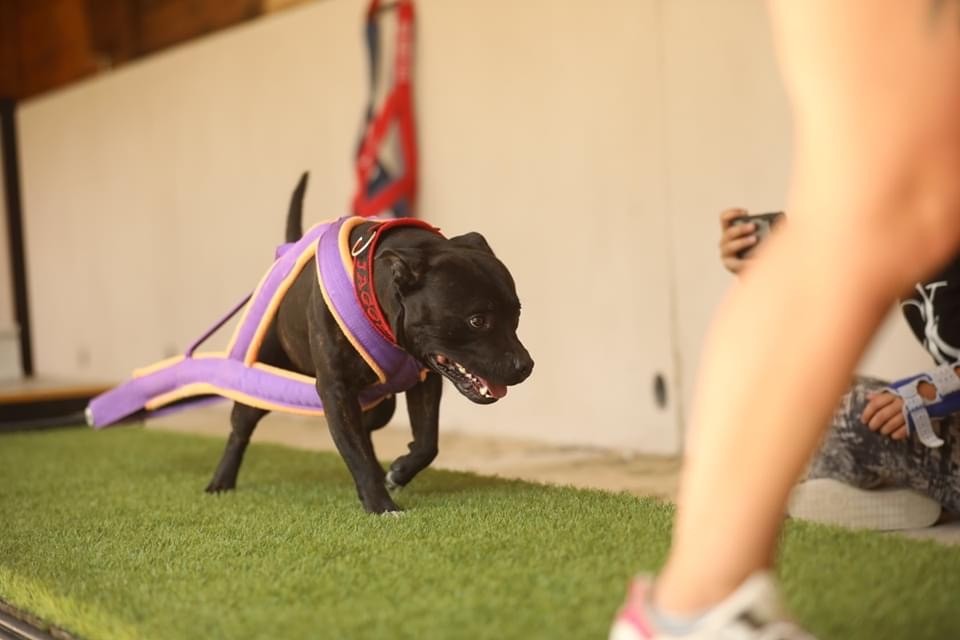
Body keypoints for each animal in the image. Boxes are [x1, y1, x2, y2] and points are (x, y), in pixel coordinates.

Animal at [204, 173, 534, 513]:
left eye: (517, 313)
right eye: (477, 321)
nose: (526, 366)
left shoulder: (426, 379)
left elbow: (427, 441)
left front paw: (399, 472)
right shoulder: (336, 391)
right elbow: (356, 455)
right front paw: (381, 505)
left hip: (379, 405)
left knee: (369, 429)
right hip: (260, 377)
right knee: (240, 430)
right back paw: (221, 481)